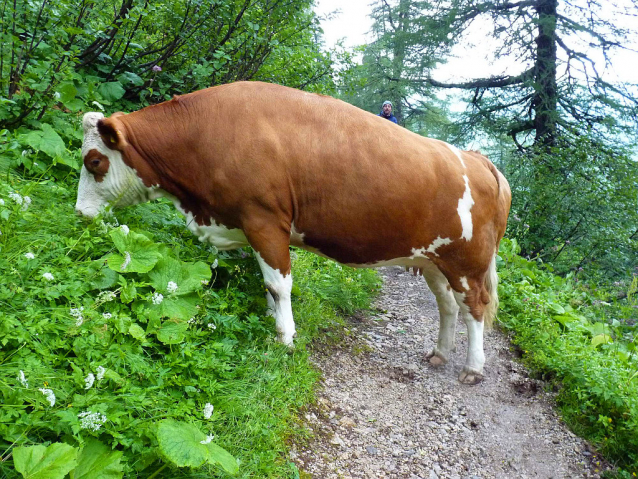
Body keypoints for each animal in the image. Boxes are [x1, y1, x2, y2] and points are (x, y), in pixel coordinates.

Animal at [76, 80, 516, 384]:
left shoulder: (264, 221)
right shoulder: (248, 227)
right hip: (432, 259)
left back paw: (474, 368)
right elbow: (268, 286)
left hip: (468, 262)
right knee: (448, 306)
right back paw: (440, 352)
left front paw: (285, 338)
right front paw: (274, 322)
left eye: (95, 161)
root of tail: (478, 159)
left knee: (475, 307)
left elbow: (278, 284)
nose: (80, 213)